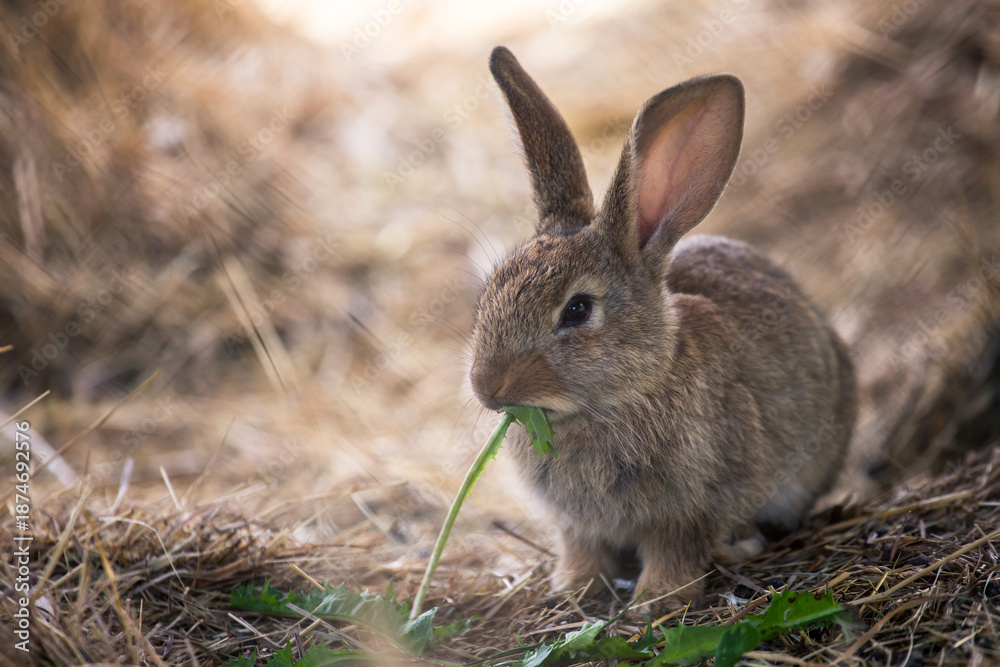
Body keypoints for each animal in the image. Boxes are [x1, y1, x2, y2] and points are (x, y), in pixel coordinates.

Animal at [469, 46, 856, 618]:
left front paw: (656, 602)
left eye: (577, 310)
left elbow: (677, 550)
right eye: (490, 292)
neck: (623, 396)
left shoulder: (694, 506)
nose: (486, 387)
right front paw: (572, 589)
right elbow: (581, 548)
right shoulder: (576, 524)